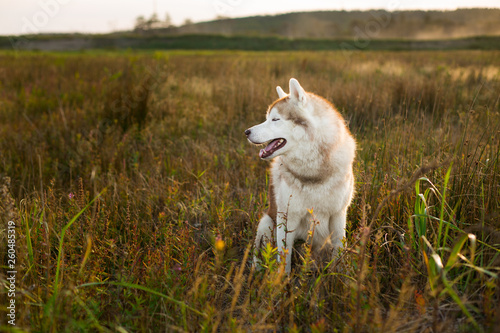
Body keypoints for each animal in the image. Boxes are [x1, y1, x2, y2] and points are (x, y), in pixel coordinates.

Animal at [245, 78, 356, 272]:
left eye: (275, 119)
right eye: (267, 118)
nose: (247, 132)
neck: (313, 172)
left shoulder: (339, 215)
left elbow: (338, 252)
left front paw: (338, 276)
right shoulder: (287, 218)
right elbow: (285, 257)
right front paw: (282, 279)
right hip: (266, 223)